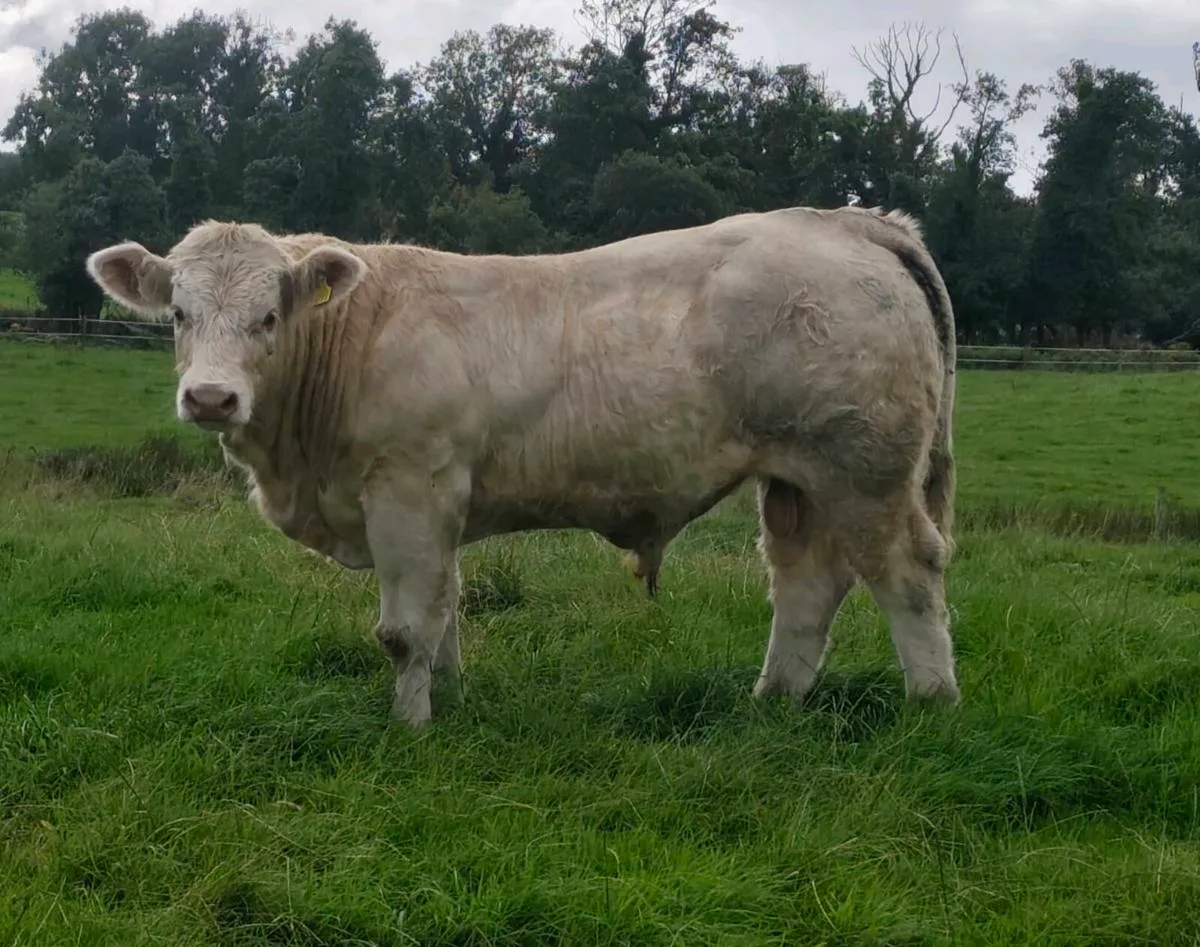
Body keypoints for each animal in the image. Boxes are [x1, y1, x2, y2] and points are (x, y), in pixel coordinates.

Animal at [84, 204, 960, 729]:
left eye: (269, 316)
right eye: (178, 313)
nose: (210, 397)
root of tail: (844, 220)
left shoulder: (408, 490)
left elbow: (404, 629)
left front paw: (409, 726)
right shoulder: (438, 505)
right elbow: (445, 612)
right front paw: (449, 695)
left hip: (866, 470)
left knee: (907, 574)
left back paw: (931, 704)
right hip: (798, 479)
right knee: (807, 581)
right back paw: (773, 702)